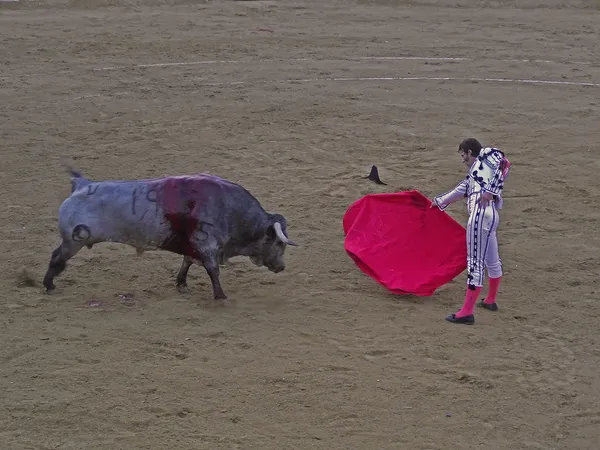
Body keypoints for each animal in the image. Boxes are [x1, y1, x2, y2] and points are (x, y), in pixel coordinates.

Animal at [42, 167, 298, 300]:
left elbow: (187, 262)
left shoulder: (194, 246)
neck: (231, 208)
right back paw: (48, 284)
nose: (282, 267)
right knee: (56, 258)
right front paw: (220, 296)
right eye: (279, 243)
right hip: (73, 241)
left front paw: (181, 283)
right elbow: (212, 271)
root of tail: (82, 184)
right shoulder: (207, 245)